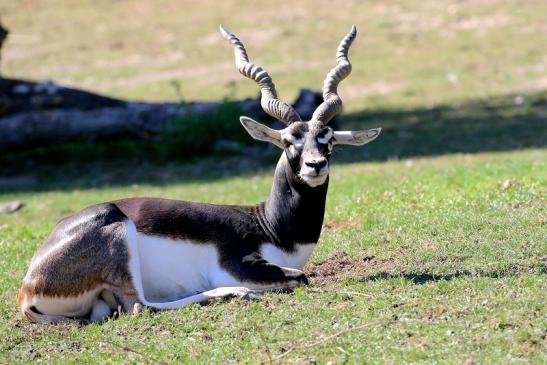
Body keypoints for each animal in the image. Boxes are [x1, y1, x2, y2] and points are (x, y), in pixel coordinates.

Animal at [19, 24, 384, 322]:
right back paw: (235, 293)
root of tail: (27, 288)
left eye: (328, 139)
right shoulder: (240, 265)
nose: (315, 165)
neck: (271, 227)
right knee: (139, 306)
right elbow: (301, 277)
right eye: (288, 140)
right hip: (119, 233)